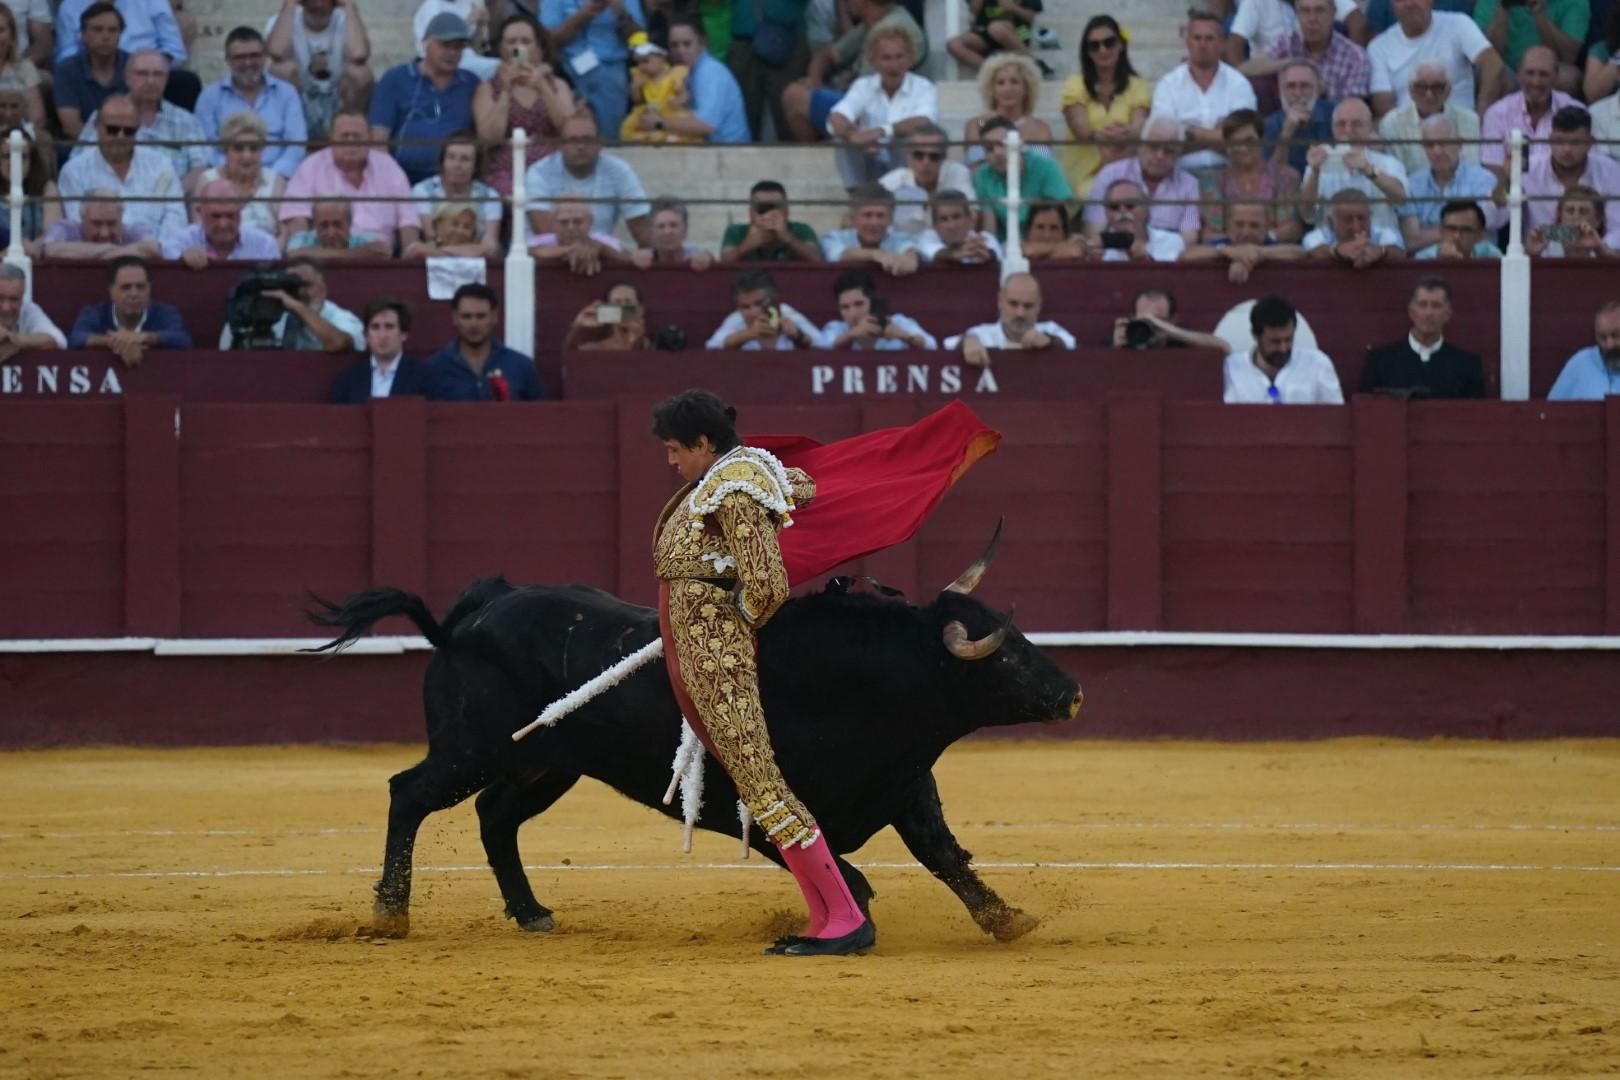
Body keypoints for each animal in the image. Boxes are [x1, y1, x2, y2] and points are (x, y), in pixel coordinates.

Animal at [309, 579, 1082, 939]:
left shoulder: (906, 787)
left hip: (547, 766)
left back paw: (531, 913)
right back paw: (389, 913)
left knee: (495, 817)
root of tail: (468, 617)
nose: (1071, 691)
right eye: (1007, 656)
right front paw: (846, 922)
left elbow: (946, 856)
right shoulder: (755, 804)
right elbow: (847, 872)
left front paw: (1007, 919)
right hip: (472, 749)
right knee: (408, 793)